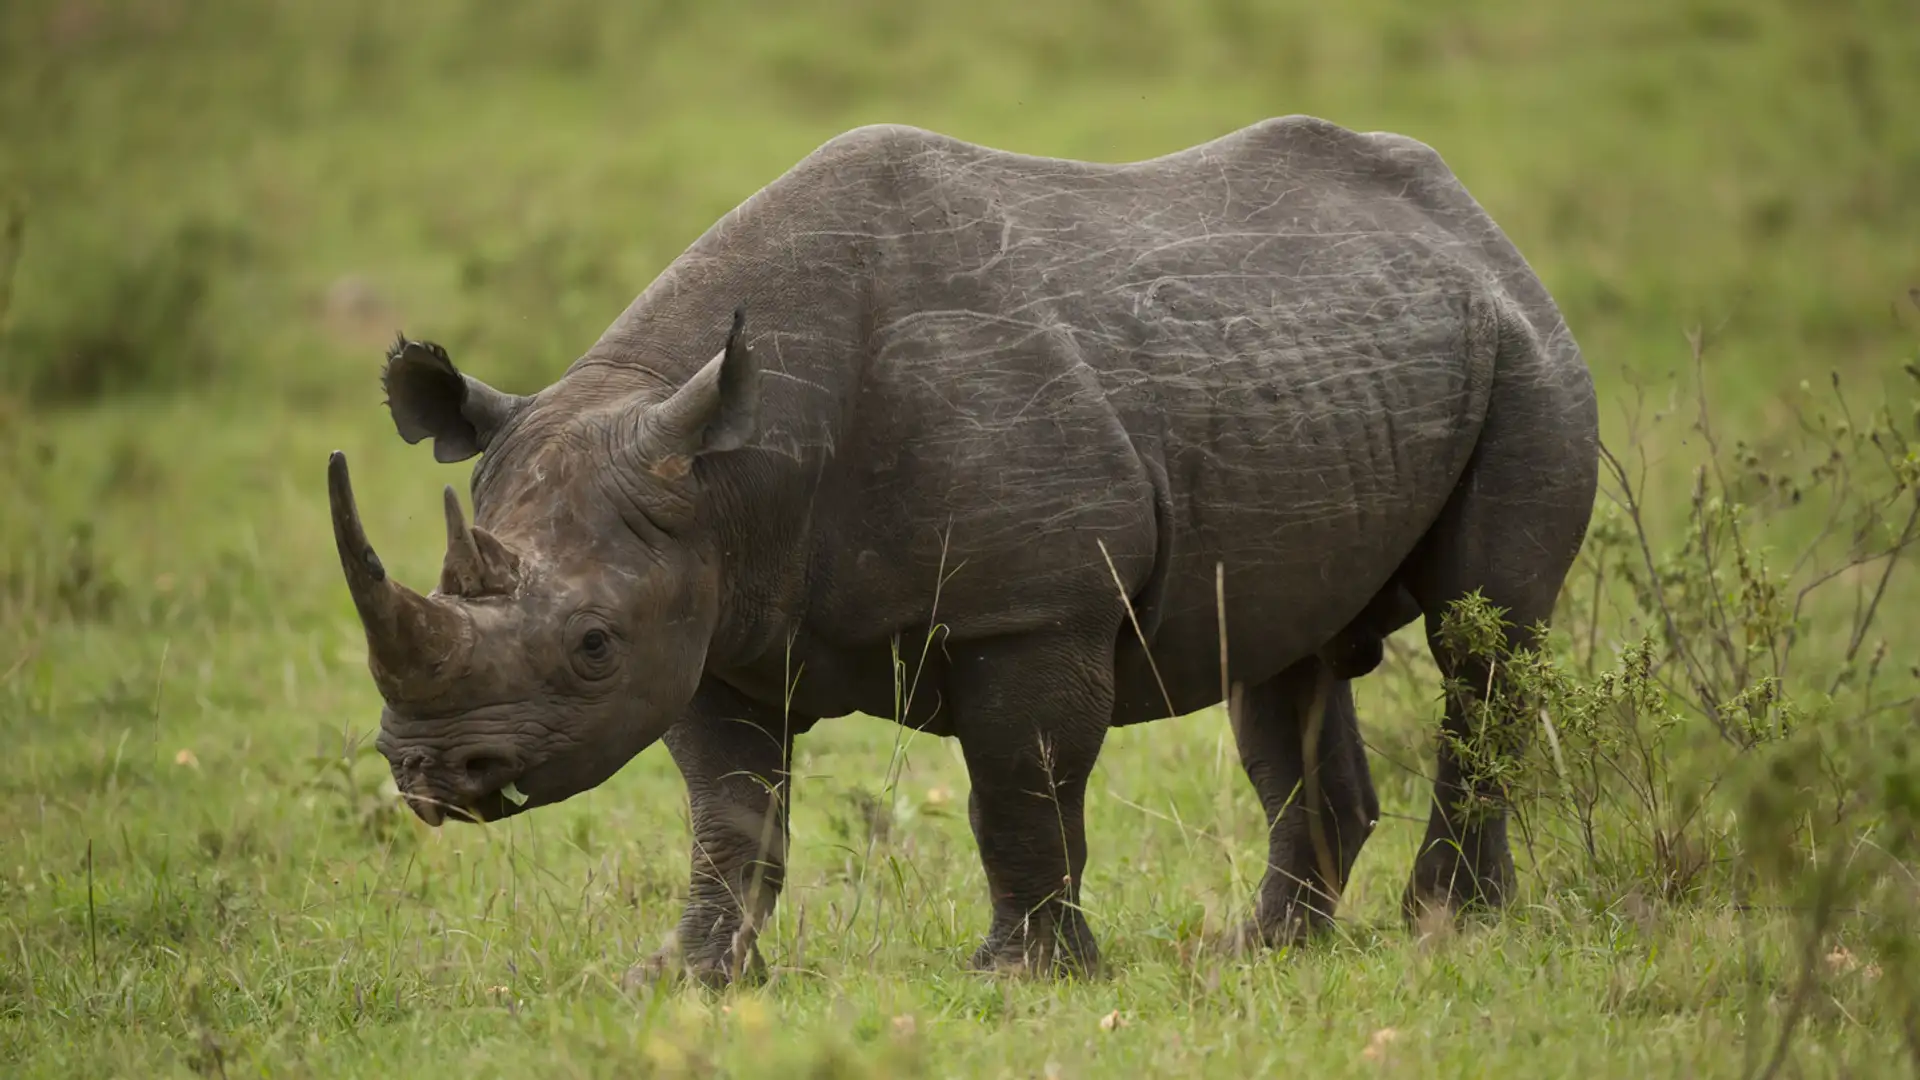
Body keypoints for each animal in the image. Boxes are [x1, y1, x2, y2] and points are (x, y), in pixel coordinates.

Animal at [327, 115, 1598, 985]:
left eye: (591, 643)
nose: (431, 774)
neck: (732, 469)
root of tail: (1472, 220)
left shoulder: (1031, 607)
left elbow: (1018, 787)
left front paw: (1022, 976)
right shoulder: (707, 622)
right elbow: (730, 819)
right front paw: (689, 978)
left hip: (1529, 350)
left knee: (1483, 637)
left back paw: (1451, 925)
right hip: (1330, 363)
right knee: (1282, 664)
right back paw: (1267, 951)